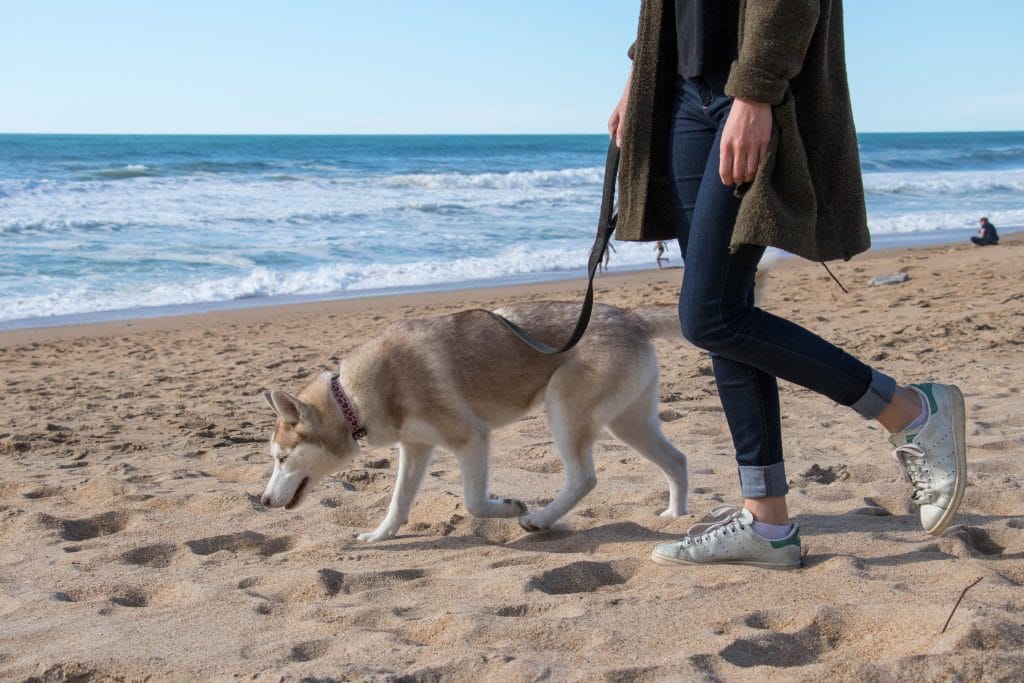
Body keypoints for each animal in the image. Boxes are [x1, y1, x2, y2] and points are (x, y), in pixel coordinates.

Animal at [260, 301, 688, 540]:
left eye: (282, 458)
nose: (263, 501)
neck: (350, 397)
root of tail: (628, 315)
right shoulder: (415, 448)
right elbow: (398, 501)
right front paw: (380, 536)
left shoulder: (472, 438)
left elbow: (473, 503)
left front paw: (509, 508)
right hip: (629, 423)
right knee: (678, 460)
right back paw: (678, 516)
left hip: (564, 412)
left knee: (584, 478)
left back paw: (539, 519)